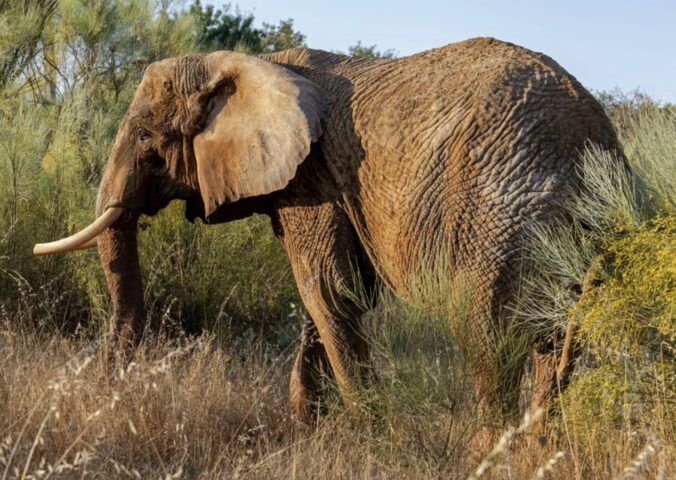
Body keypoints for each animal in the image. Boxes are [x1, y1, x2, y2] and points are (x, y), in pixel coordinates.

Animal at [34, 37, 622, 423]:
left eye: (147, 137)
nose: (102, 393)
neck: (251, 64)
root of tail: (594, 138)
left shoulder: (312, 180)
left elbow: (327, 290)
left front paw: (369, 434)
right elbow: (329, 295)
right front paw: (306, 428)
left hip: (500, 212)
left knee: (487, 334)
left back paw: (488, 450)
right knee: (551, 339)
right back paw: (537, 445)